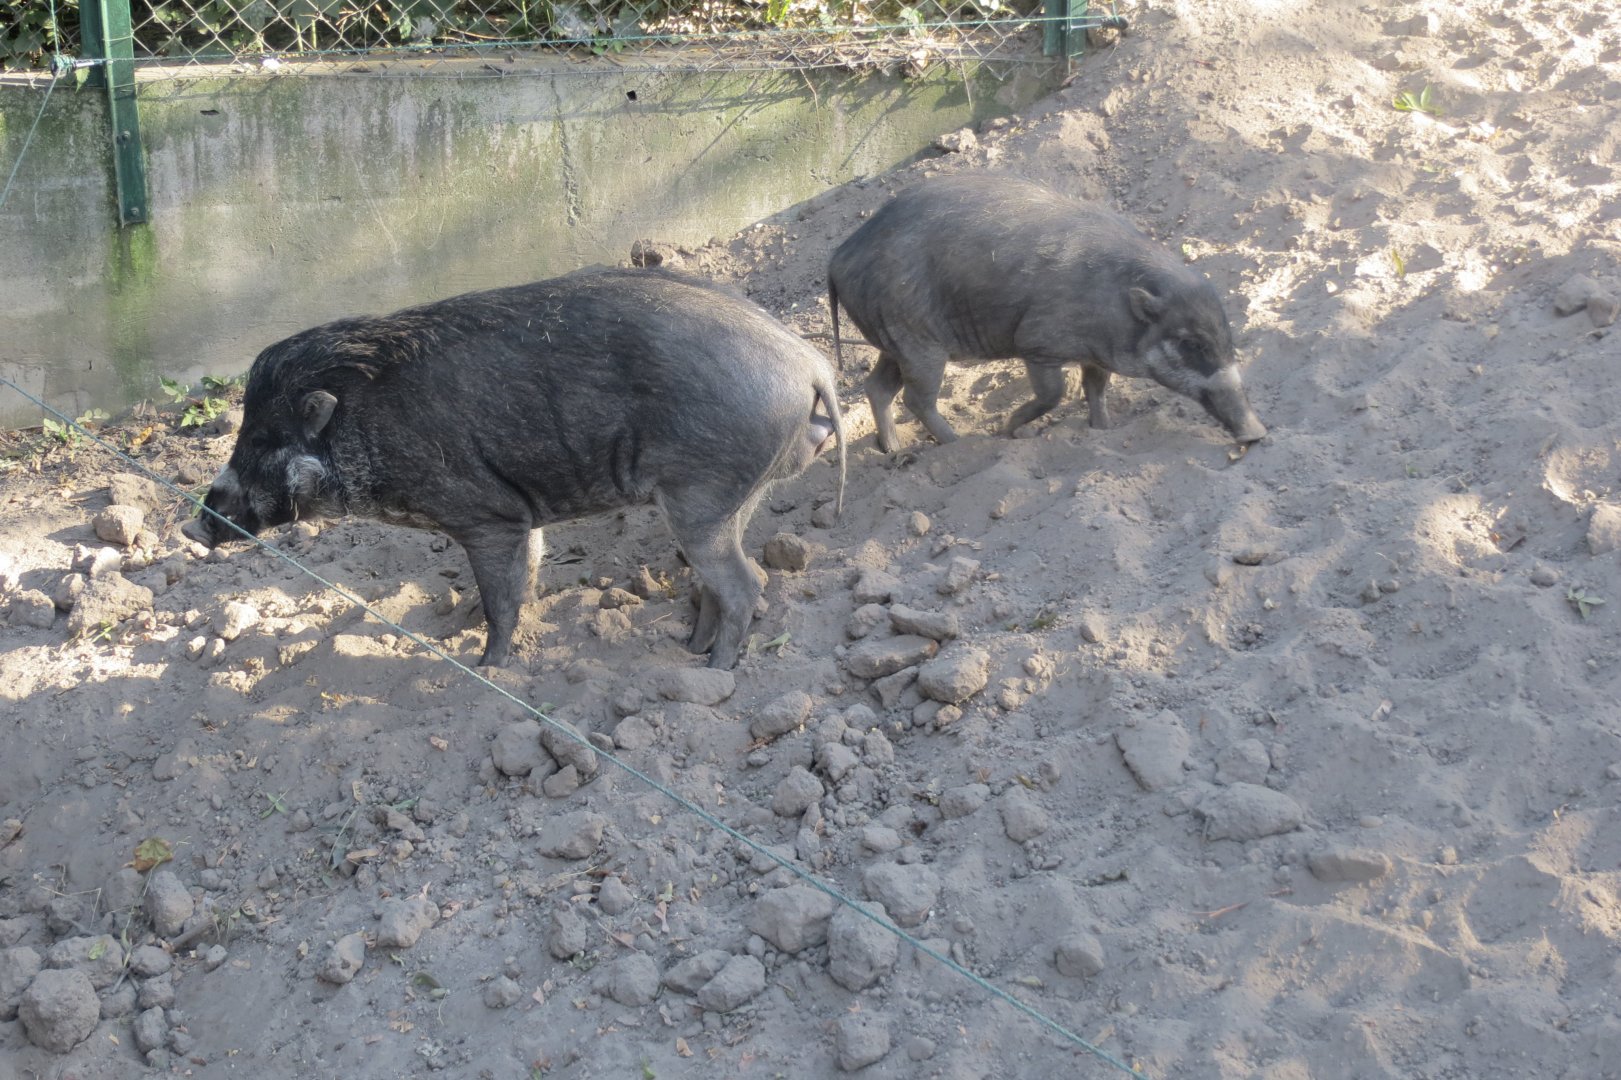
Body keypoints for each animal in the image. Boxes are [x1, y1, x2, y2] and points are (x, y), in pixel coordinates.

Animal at [193, 268, 845, 670]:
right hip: (733, 495)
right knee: (719, 583)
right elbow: (526, 577)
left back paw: (715, 669)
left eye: (263, 438)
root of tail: (810, 362)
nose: (193, 522)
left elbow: (499, 600)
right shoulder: (520, 516)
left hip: (701, 494)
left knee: (745, 583)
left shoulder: (485, 517)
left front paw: (488, 668)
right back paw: (690, 649)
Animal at [826, 174, 1266, 451]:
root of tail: (839, 257)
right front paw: (1009, 431)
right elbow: (1055, 394)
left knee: (877, 387)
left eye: (1227, 336)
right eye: (1190, 343)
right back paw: (961, 443)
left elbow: (1095, 389)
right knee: (916, 399)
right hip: (917, 341)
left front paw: (1103, 430)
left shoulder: (1096, 354)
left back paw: (893, 450)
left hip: (893, 342)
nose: (1256, 434)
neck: (1115, 300)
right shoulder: (1037, 344)